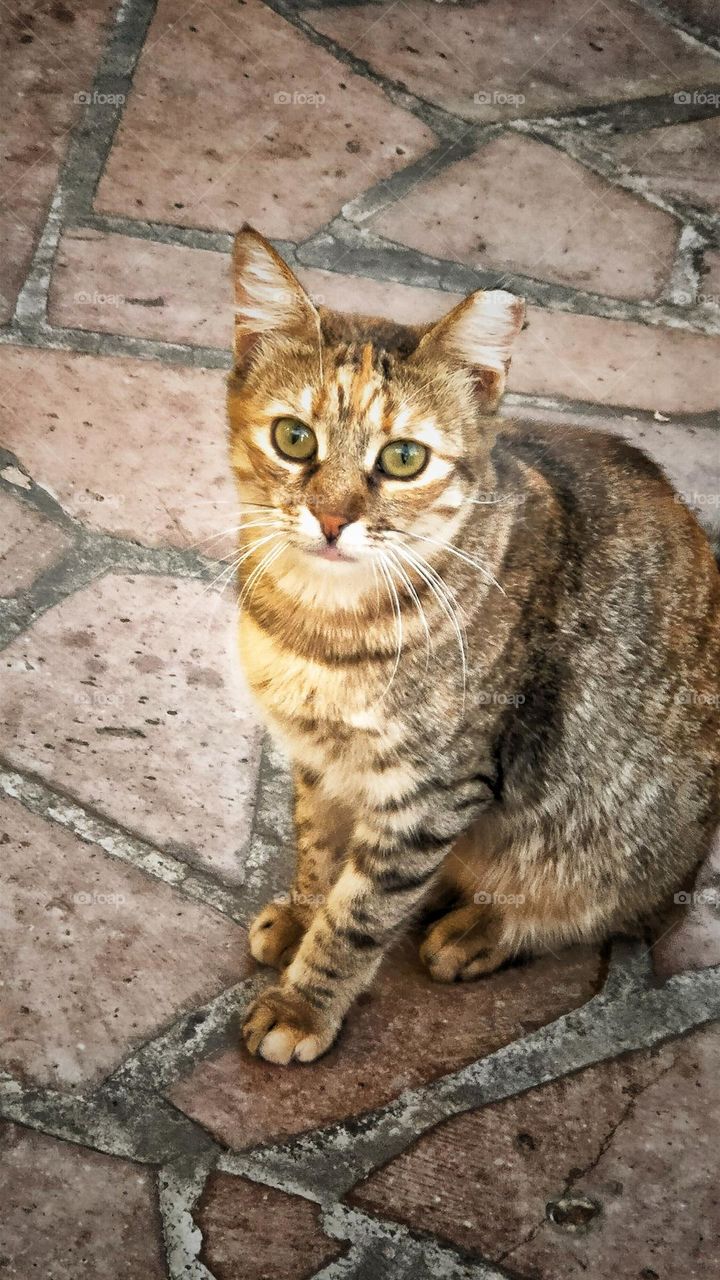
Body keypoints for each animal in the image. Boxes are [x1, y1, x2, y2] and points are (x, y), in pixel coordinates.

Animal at [228, 225, 717, 1064]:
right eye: (294, 439)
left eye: (403, 458)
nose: (331, 518)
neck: (320, 623)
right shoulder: (319, 758)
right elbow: (317, 845)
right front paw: (300, 911)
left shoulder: (431, 791)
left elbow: (361, 915)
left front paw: (304, 1002)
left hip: (618, 837)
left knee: (614, 906)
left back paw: (484, 928)